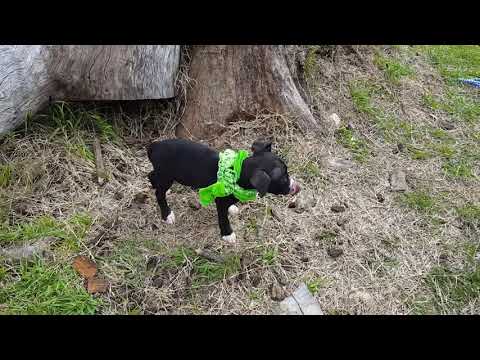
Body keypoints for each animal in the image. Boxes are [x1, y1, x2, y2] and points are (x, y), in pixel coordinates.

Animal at [146, 139, 298, 243]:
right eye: (283, 178)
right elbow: (223, 218)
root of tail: (155, 146)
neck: (238, 171)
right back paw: (167, 214)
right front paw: (227, 234)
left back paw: (156, 185)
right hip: (167, 175)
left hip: (164, 174)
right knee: (159, 194)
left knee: (151, 175)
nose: (296, 188)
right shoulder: (220, 202)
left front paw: (232, 207)